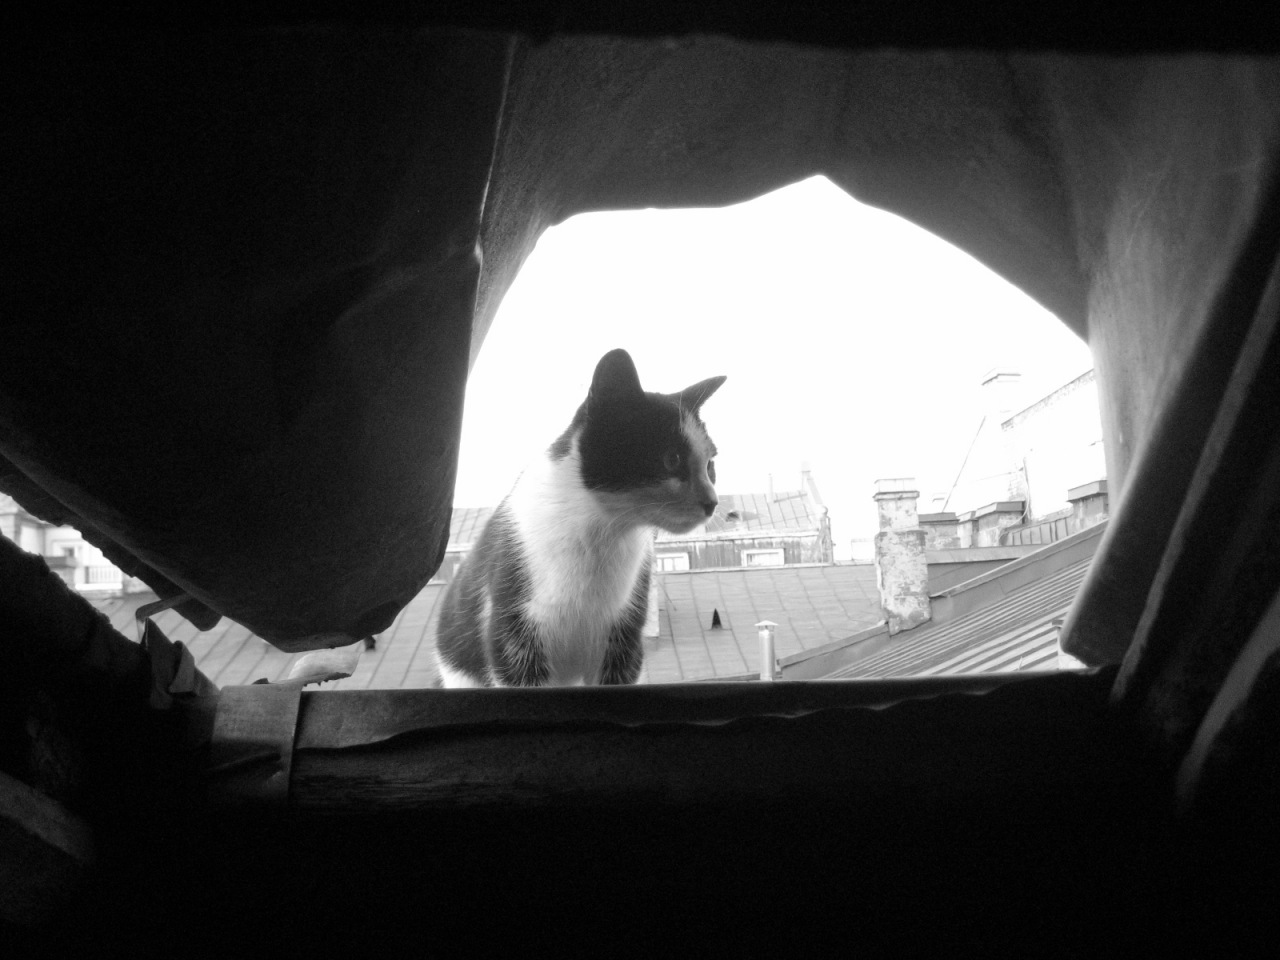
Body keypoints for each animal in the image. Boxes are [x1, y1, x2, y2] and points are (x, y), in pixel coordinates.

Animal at [434, 348, 725, 687]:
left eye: (710, 465)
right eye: (672, 459)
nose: (712, 502)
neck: (600, 531)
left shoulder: (622, 637)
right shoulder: (513, 634)